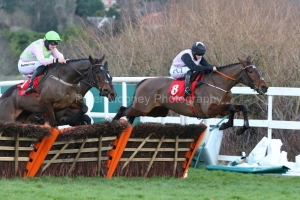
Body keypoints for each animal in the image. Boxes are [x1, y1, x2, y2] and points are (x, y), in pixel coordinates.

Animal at [113, 55, 268, 134]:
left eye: (257, 70)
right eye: (250, 71)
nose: (264, 87)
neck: (219, 83)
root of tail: (144, 81)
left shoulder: (221, 107)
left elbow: (241, 107)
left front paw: (243, 128)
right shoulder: (209, 110)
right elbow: (231, 108)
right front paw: (225, 125)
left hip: (156, 111)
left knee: (130, 115)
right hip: (143, 108)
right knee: (122, 110)